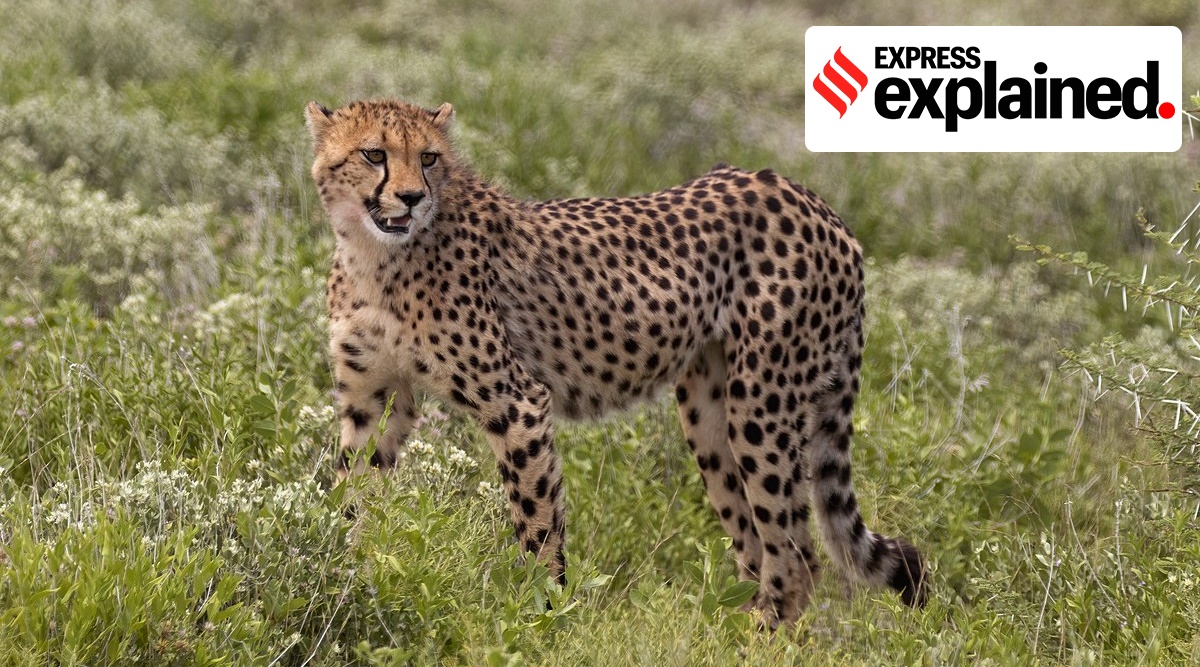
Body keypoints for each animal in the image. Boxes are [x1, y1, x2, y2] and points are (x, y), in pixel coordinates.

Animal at [305, 98, 926, 627]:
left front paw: (541, 619)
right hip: (710, 416)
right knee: (757, 547)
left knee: (797, 557)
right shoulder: (373, 399)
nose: (411, 197)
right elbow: (350, 495)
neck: (375, 254)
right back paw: (726, 634)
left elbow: (537, 524)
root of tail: (811, 198)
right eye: (374, 154)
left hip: (763, 404)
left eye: (429, 158)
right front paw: (339, 572)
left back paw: (756, 641)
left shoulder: (518, 403)